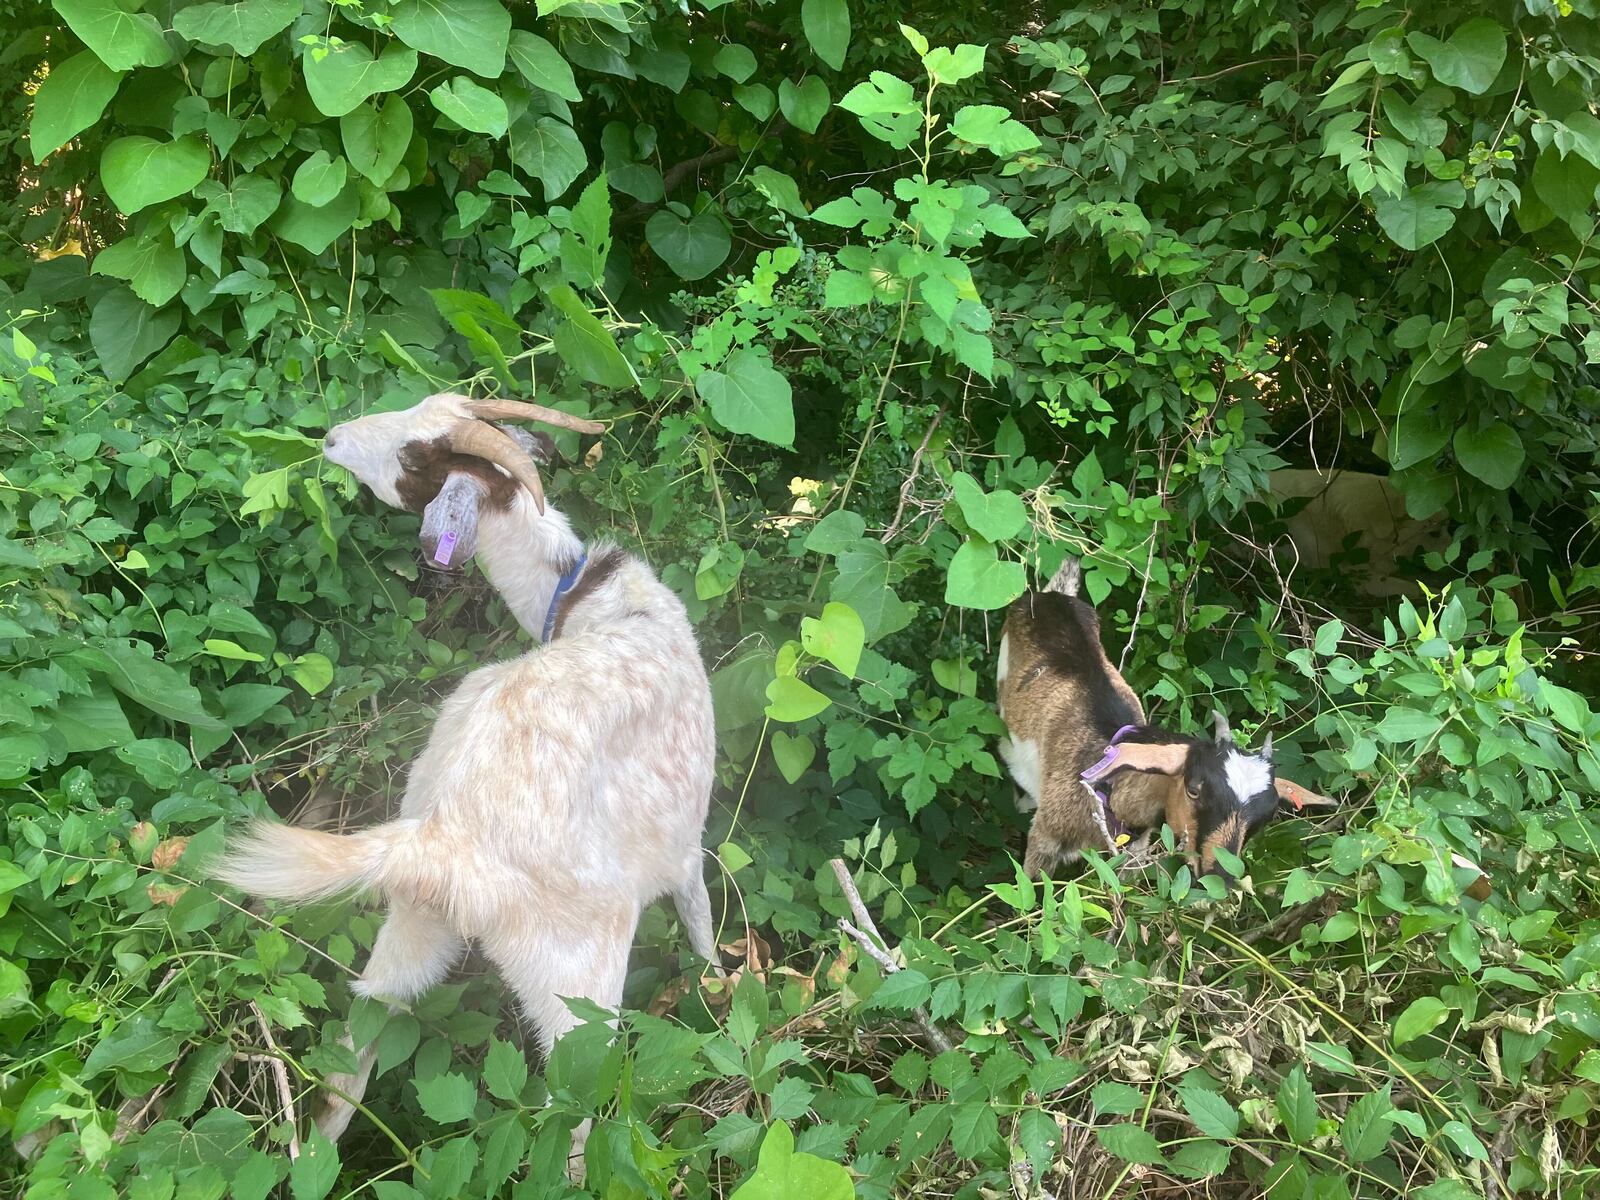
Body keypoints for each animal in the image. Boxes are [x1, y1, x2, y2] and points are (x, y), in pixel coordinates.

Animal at [216, 396, 716, 1164]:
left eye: (415, 452)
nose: (331, 438)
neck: (586, 600)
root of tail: (444, 834)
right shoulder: (687, 846)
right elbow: (703, 927)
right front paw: (720, 995)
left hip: (415, 924)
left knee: (355, 1050)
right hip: (578, 985)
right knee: (571, 1121)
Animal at [992, 560, 1331, 876]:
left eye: (1265, 818)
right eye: (1194, 789)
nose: (1221, 875)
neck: (1109, 789)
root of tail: (1053, 595)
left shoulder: (1132, 853)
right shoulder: (1045, 839)